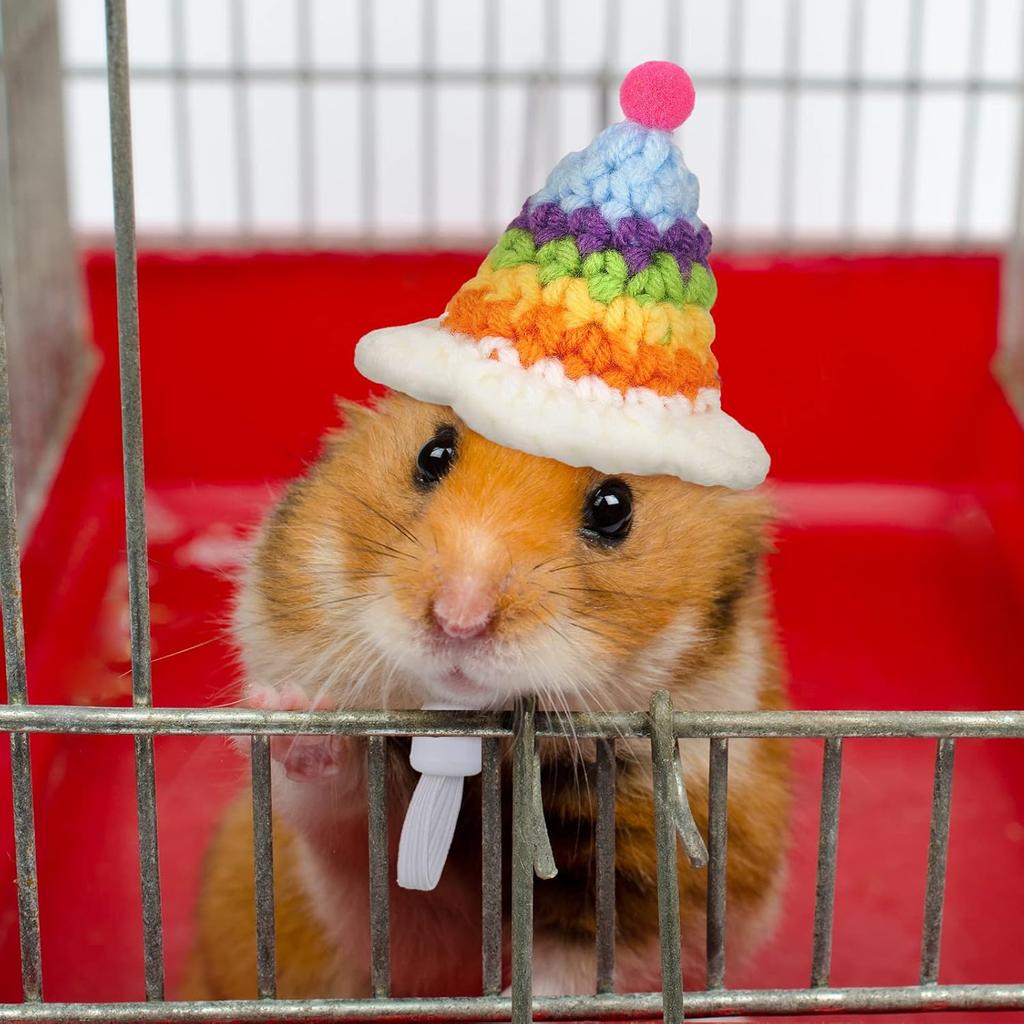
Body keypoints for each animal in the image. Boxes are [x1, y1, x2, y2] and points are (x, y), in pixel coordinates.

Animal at [183, 392, 791, 1000]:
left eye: (613, 507)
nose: (459, 618)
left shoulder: (660, 882)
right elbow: (350, 828)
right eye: (433, 454)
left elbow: (578, 970)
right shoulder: (390, 912)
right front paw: (296, 715)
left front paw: (512, 999)